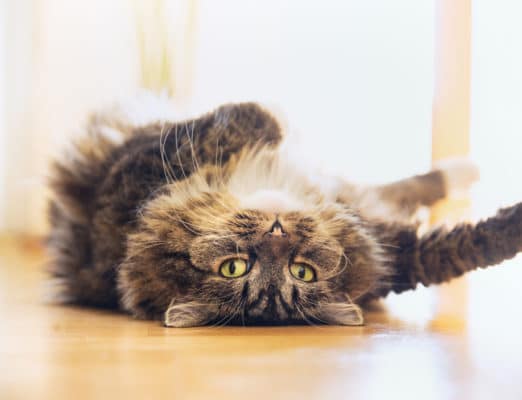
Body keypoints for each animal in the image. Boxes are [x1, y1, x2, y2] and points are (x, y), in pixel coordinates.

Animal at [45, 98, 520, 326]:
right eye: (234, 267)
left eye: (302, 272)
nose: (277, 233)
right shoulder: (132, 170)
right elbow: (257, 117)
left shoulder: (394, 249)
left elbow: (470, 243)